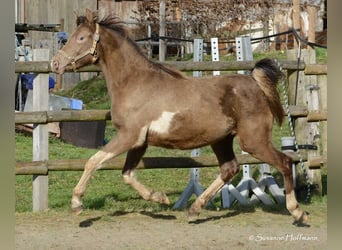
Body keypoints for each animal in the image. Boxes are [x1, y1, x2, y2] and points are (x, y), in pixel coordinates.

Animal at [50, 9, 308, 225]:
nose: (55, 63)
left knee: (285, 162)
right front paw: (160, 198)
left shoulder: (128, 136)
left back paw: (297, 211)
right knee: (229, 169)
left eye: (81, 38)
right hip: (222, 140)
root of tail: (255, 83)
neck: (134, 83)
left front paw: (76, 204)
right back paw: (194, 210)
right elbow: (127, 174)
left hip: (253, 140)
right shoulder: (139, 142)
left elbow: (93, 161)